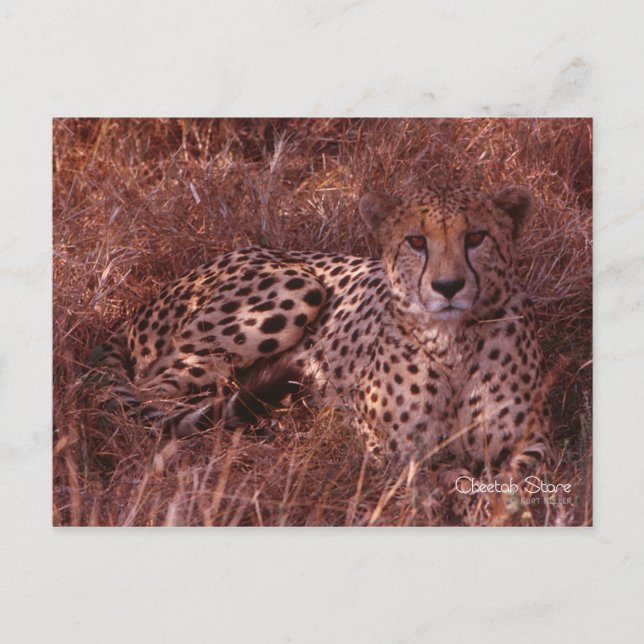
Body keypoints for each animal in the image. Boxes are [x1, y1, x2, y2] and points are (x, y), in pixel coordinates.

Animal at [98, 181, 550, 471]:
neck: (452, 342)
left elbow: (518, 479)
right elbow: (434, 474)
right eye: (416, 242)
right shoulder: (385, 447)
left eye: (476, 237)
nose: (448, 286)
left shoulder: (536, 440)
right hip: (297, 287)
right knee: (151, 396)